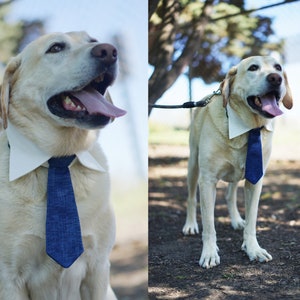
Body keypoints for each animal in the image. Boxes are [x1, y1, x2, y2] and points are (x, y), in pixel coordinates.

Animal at [0, 31, 125, 298]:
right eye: (55, 48)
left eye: (92, 40)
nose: (109, 51)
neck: (58, 160)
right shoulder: (9, 278)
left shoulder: (98, 267)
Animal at [182, 56, 292, 270]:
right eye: (253, 68)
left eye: (278, 67)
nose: (276, 78)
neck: (249, 128)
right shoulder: (207, 181)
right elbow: (209, 224)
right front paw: (209, 253)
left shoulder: (255, 179)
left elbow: (252, 220)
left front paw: (252, 248)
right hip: (193, 166)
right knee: (191, 198)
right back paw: (190, 224)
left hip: (237, 174)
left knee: (229, 195)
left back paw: (235, 219)